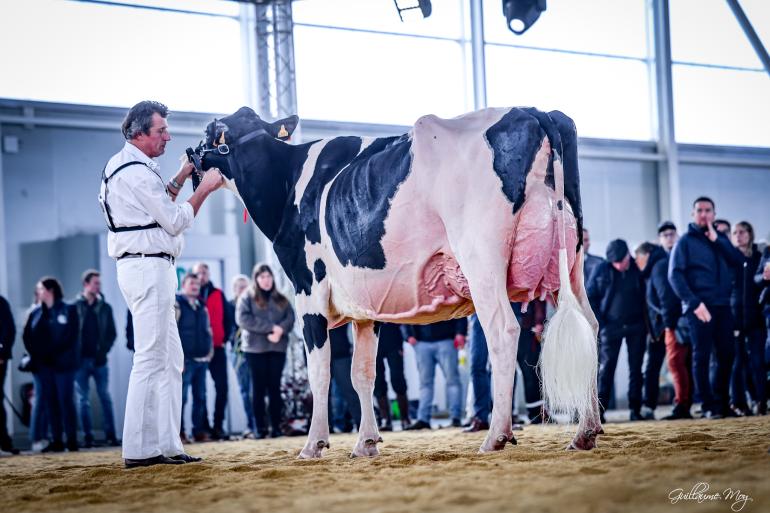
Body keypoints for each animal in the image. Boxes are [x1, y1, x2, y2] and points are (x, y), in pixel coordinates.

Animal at [190, 106, 600, 458]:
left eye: (210, 133)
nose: (189, 156)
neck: (288, 182)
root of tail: (535, 110)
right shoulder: (364, 309)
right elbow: (362, 375)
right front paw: (366, 443)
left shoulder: (309, 289)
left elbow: (320, 373)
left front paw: (313, 445)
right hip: (572, 260)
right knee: (590, 326)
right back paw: (586, 432)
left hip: (482, 259)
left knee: (503, 331)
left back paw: (496, 435)